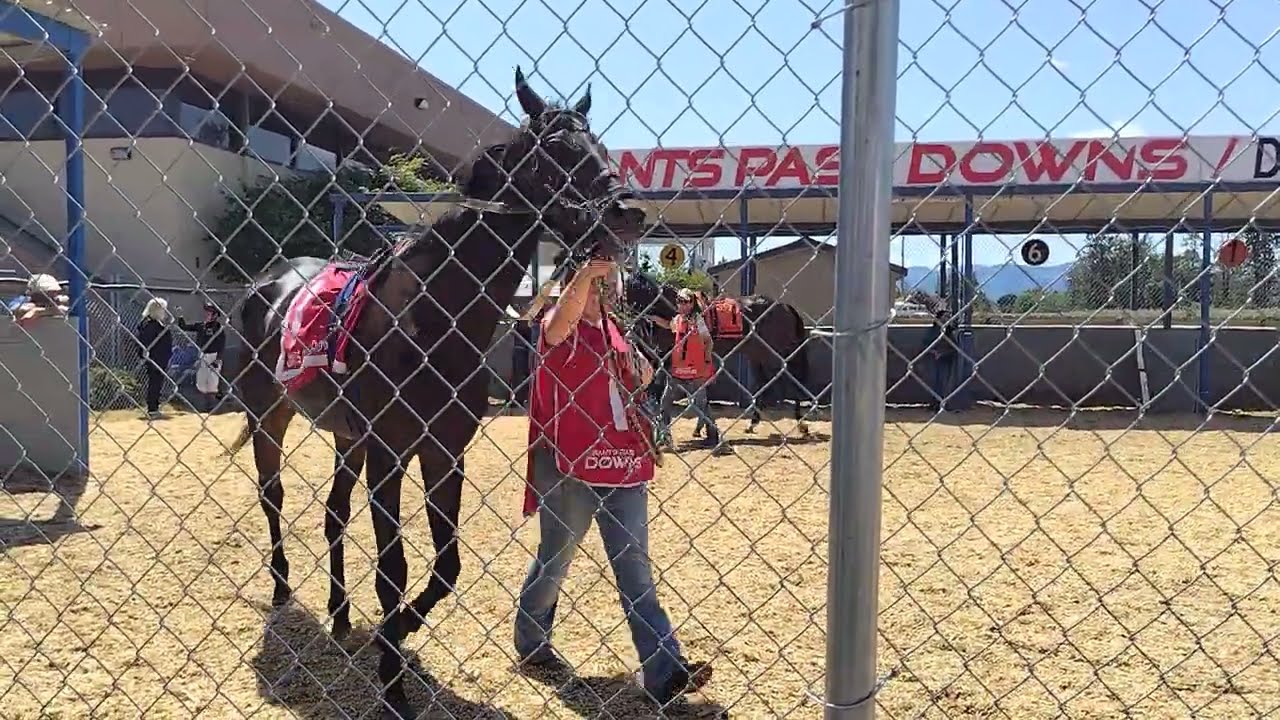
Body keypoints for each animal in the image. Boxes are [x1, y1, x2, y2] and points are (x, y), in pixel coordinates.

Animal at [223, 68, 647, 719]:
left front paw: (394, 637)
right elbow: (393, 569)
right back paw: (281, 589)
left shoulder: (444, 450)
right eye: (556, 148)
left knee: (333, 515)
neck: (432, 313)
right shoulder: (390, 454)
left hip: (347, 439)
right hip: (270, 414)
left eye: (600, 146)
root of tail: (263, 283)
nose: (629, 211)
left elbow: (446, 566)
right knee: (273, 497)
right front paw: (393, 677)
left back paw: (340, 615)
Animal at [622, 271, 815, 436]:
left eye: (626, 288)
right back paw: (753, 423)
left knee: (791, 378)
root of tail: (784, 306)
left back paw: (801, 424)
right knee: (764, 382)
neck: (671, 310)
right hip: (758, 354)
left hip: (777, 353)